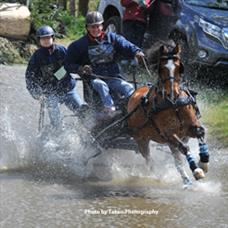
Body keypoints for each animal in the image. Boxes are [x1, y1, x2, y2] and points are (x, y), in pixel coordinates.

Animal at [126, 42, 210, 185]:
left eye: (179, 67)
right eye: (161, 68)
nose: (172, 93)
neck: (174, 104)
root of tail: (134, 93)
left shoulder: (190, 128)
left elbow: (200, 132)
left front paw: (203, 162)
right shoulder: (168, 133)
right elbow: (184, 148)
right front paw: (196, 170)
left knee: (176, 158)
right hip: (141, 139)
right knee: (149, 159)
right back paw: (159, 176)